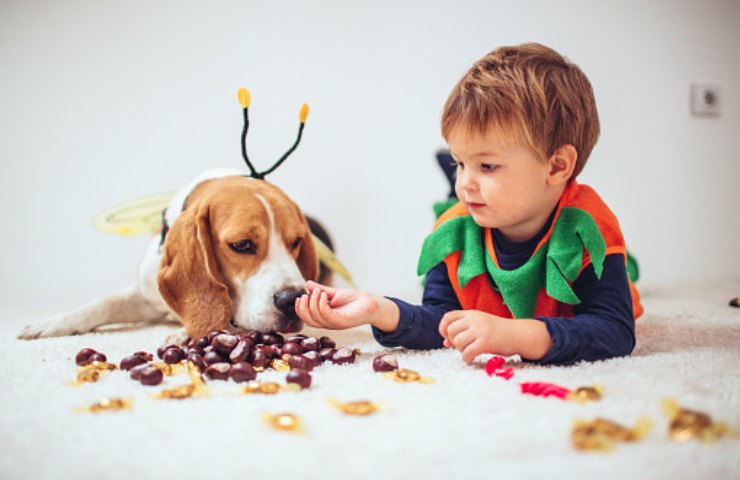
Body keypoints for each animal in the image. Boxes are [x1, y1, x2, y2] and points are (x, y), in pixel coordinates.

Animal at [18, 169, 320, 344]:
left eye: (296, 241)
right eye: (242, 245)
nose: (292, 300)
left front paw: (183, 333)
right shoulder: (146, 297)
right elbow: (102, 303)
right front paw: (53, 323)